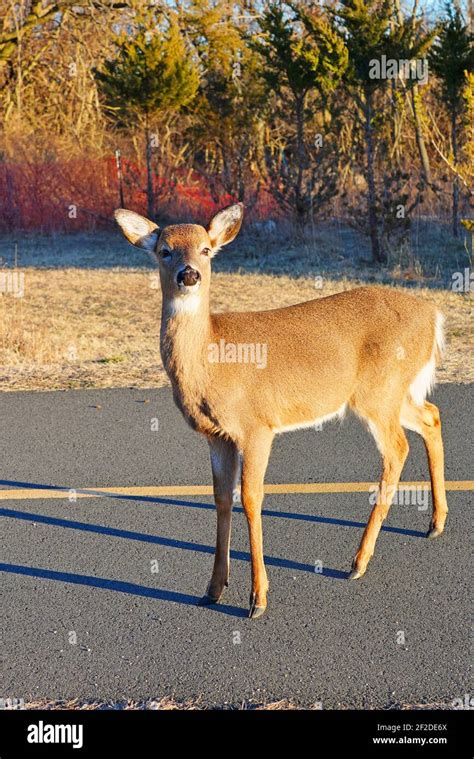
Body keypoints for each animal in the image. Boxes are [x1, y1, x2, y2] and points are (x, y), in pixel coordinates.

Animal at [115, 202, 448, 616]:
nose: (188, 274)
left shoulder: (257, 425)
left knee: (398, 449)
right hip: (393, 394)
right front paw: (213, 588)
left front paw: (257, 598)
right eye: (165, 250)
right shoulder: (217, 435)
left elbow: (250, 498)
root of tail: (435, 317)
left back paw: (358, 562)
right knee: (431, 416)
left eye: (206, 250)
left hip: (377, 392)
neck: (212, 359)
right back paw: (435, 524)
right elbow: (221, 498)